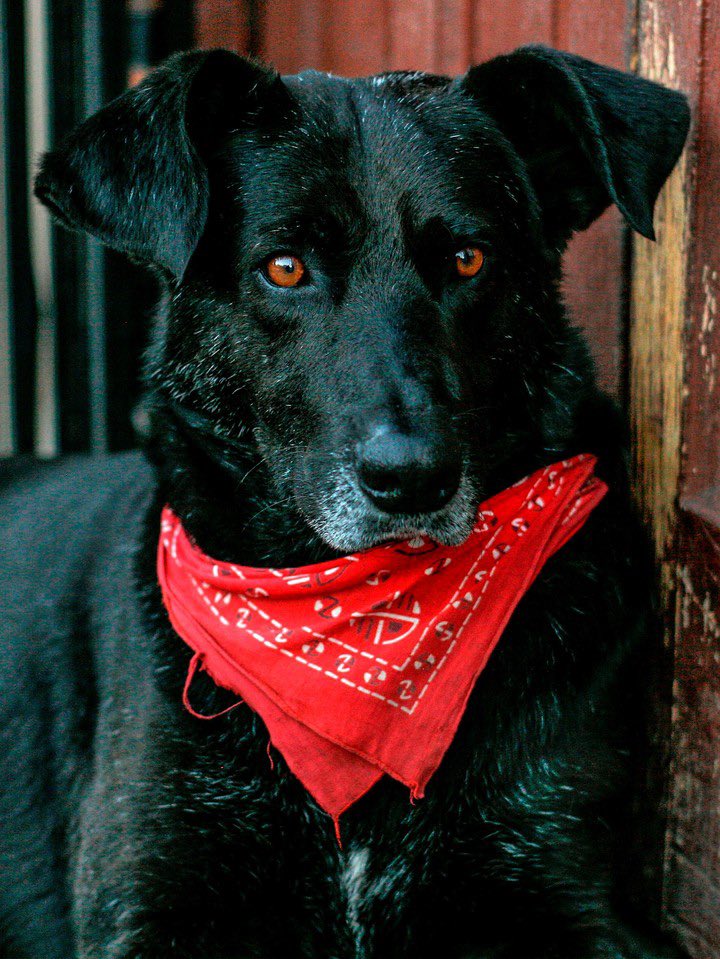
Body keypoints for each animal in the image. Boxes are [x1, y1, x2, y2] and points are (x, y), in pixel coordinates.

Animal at [1, 47, 692, 959]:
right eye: (285, 267)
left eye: (469, 258)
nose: (412, 477)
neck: (354, 625)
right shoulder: (149, 905)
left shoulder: (573, 888)